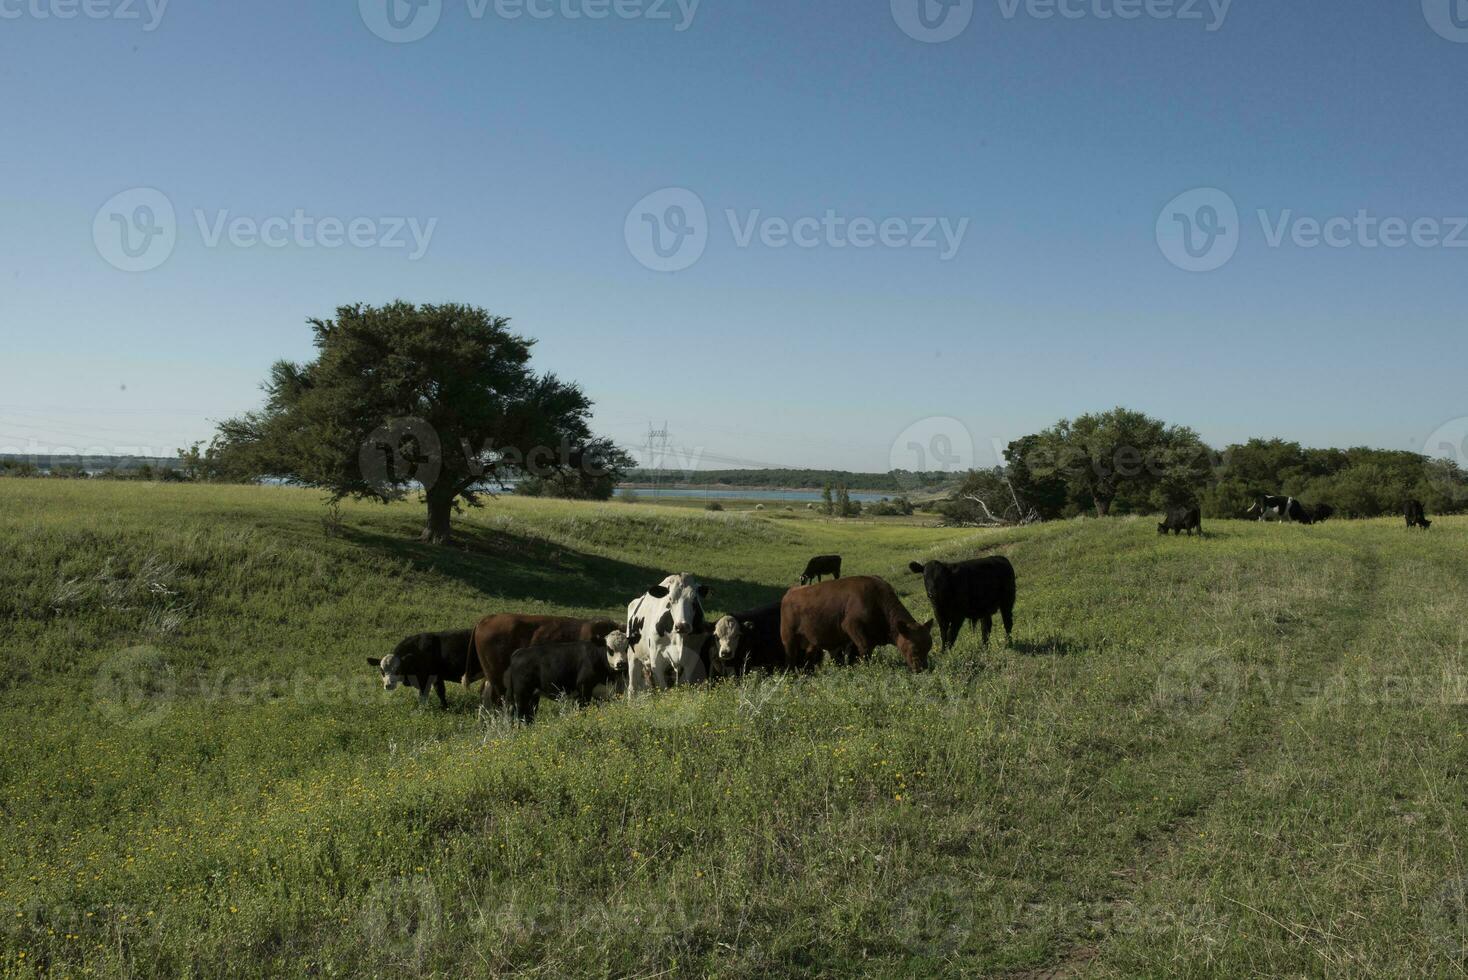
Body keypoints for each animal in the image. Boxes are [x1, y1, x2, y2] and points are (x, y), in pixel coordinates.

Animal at [780, 578, 927, 668]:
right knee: (790, 658)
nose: (922, 668)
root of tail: (789, 593)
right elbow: (864, 648)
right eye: (914, 648)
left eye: (928, 646)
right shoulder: (852, 626)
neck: (878, 600)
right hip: (789, 639)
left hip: (811, 643)